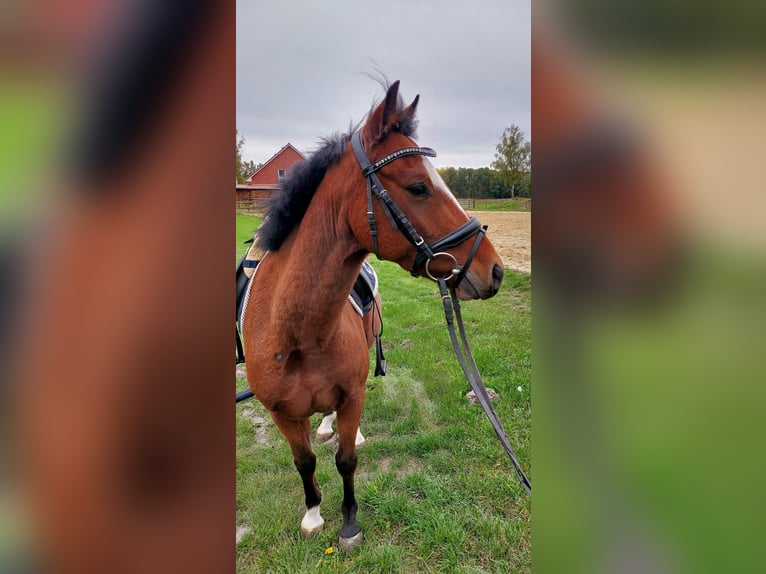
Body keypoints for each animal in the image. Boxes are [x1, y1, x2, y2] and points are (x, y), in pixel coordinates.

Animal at [240, 81, 504, 551]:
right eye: (418, 187)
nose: (494, 270)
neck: (296, 333)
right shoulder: (281, 413)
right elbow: (305, 462)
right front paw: (312, 515)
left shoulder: (351, 396)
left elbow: (346, 459)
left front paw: (349, 523)